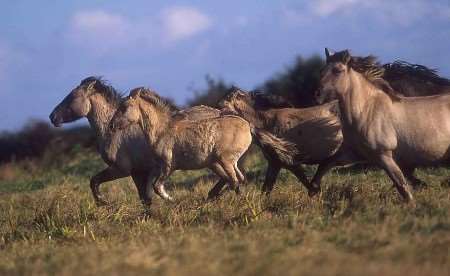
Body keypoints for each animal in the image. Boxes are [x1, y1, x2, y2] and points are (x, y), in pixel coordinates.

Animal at [49, 76, 221, 206]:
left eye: (72, 96)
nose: (53, 117)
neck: (114, 131)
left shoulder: (122, 170)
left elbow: (94, 181)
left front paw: (103, 203)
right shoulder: (138, 172)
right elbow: (145, 199)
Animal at [109, 88, 298, 201]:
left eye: (124, 107)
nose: (111, 125)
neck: (162, 130)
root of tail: (247, 124)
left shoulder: (168, 165)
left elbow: (157, 187)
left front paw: (172, 200)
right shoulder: (160, 167)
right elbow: (153, 187)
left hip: (226, 161)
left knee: (235, 181)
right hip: (224, 163)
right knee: (238, 179)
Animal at [218, 87, 348, 195]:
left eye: (227, 99)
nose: (217, 106)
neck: (267, 122)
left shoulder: (287, 162)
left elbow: (307, 184)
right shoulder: (274, 162)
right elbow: (266, 188)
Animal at [316, 48, 450, 203]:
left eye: (337, 70)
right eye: (322, 70)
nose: (317, 95)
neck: (367, 109)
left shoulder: (384, 155)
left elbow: (401, 183)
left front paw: (413, 203)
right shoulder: (356, 153)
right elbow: (325, 164)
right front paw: (313, 190)